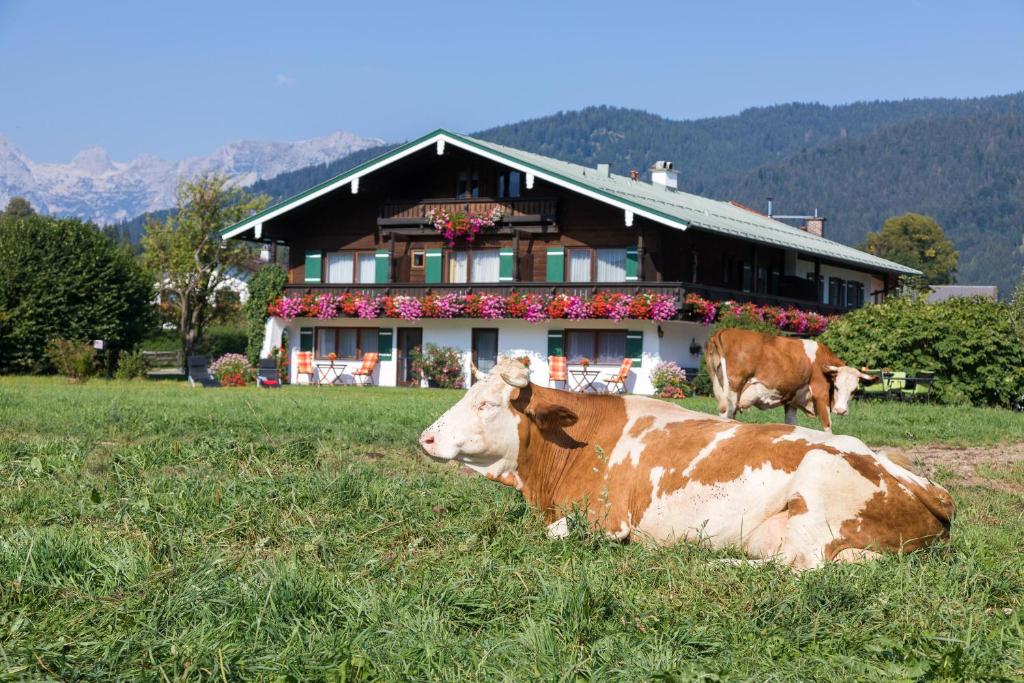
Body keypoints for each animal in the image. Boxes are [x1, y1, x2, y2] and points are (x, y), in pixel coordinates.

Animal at [415, 358, 950, 573]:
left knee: (800, 566)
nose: (426, 437)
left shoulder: (606, 521)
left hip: (816, 499)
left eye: (486, 404)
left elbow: (556, 534)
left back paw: (712, 560)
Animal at [704, 329, 880, 432]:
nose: (841, 410)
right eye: (836, 387)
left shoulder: (791, 400)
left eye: (854, 390)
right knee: (727, 415)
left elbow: (791, 424)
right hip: (733, 391)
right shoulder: (820, 394)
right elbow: (827, 426)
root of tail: (723, 332)